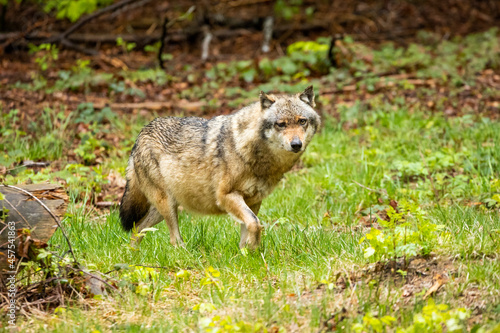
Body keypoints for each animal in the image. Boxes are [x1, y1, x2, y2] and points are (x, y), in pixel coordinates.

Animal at [119, 85, 318, 249]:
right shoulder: (226, 196)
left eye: (302, 121)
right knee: (173, 239)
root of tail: (140, 135)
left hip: (163, 210)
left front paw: (248, 256)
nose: (296, 144)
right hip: (167, 205)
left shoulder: (254, 201)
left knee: (137, 230)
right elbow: (255, 224)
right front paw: (253, 249)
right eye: (281, 124)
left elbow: (248, 230)